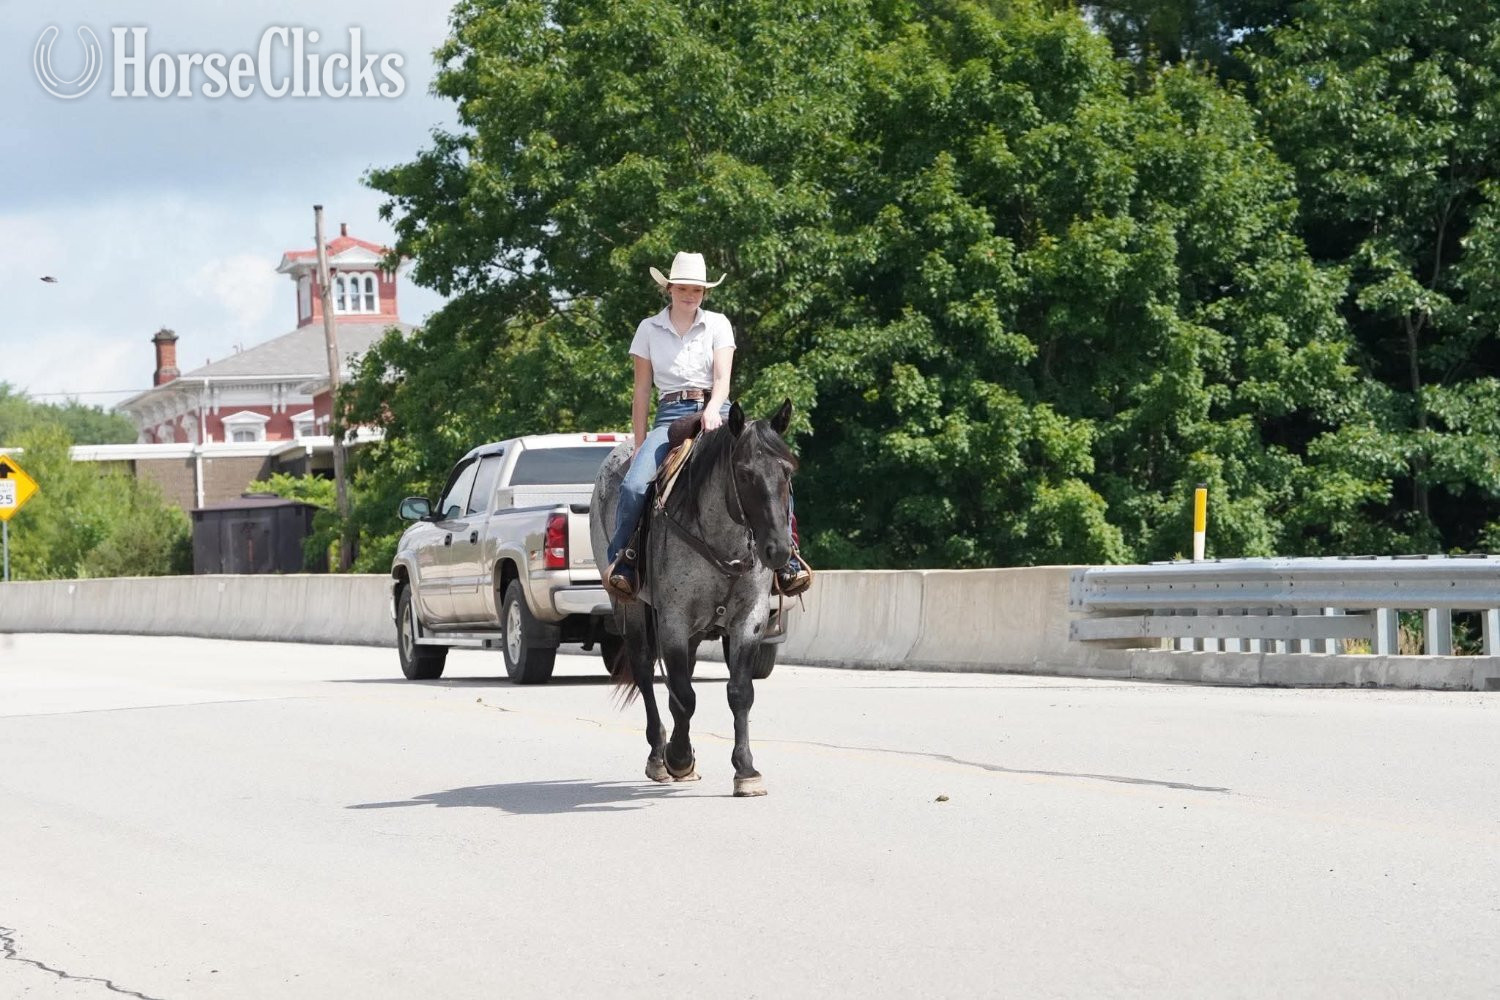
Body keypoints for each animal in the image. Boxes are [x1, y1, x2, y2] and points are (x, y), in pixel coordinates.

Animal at [589, 399, 797, 796]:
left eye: (788, 472)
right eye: (744, 474)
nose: (778, 550)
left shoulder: (749, 618)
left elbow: (739, 692)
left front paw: (746, 770)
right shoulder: (673, 618)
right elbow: (684, 696)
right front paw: (679, 758)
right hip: (630, 607)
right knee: (645, 671)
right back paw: (659, 755)